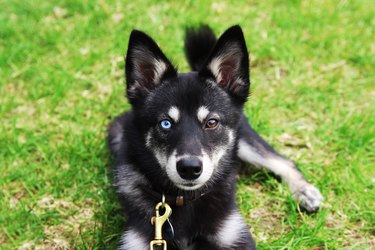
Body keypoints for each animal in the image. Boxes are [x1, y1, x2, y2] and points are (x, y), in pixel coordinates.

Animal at [107, 24, 324, 249]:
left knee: (283, 161)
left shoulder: (234, 235)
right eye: (165, 123)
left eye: (212, 122)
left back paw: (304, 192)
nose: (189, 168)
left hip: (244, 140)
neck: (185, 199)